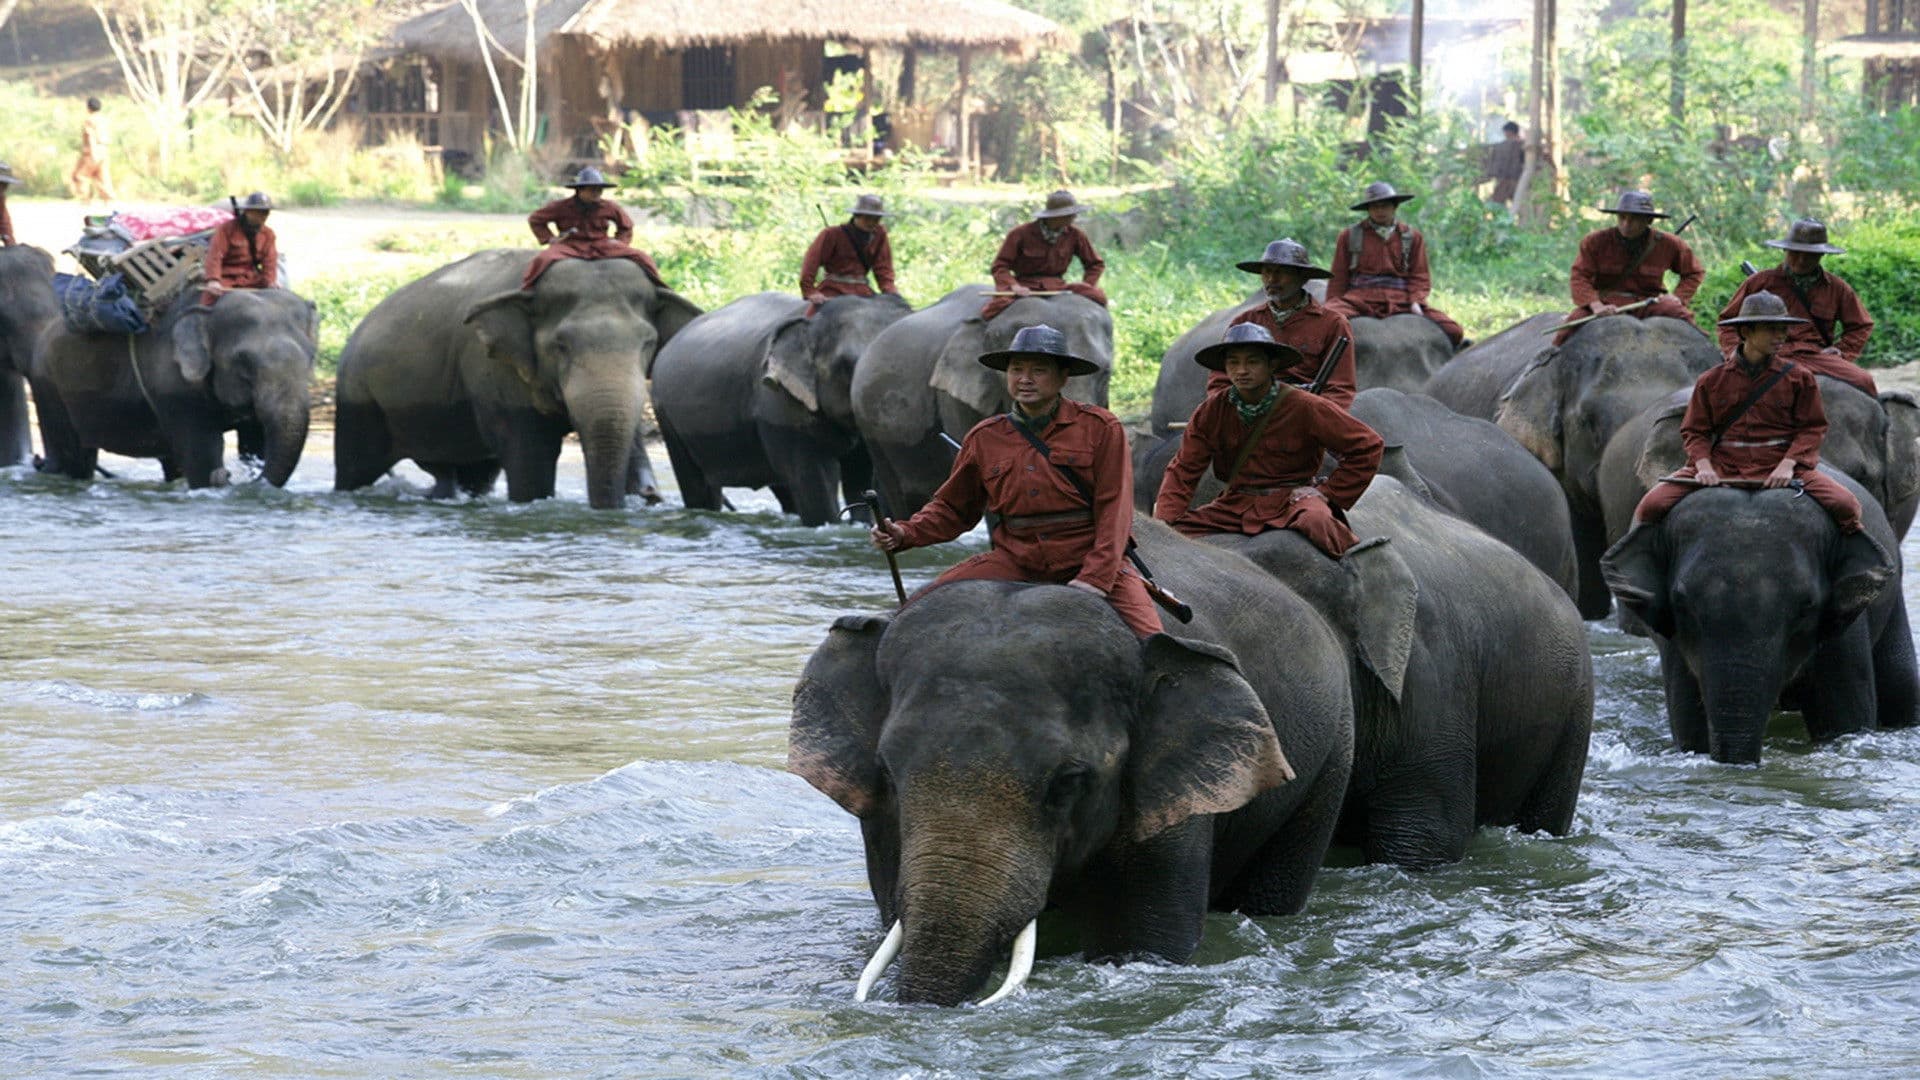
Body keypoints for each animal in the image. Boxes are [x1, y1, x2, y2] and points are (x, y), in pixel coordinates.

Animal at [32, 289, 316, 487]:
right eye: (243, 361)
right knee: (73, 457)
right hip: (47, 384)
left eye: (311, 356)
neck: (208, 311)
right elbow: (203, 454)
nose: (226, 475)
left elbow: (255, 441)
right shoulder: (175, 387)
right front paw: (211, 478)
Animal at [333, 251, 700, 509]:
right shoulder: (494, 368)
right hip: (357, 396)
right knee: (355, 468)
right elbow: (531, 459)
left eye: (648, 343)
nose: (648, 494)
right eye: (561, 346)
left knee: (470, 473)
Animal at [651, 291, 910, 525]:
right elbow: (816, 478)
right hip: (667, 419)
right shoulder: (781, 404)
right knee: (699, 486)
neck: (813, 323)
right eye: (849, 365)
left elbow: (859, 473)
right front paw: (829, 525)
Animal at [1601, 469, 1918, 764]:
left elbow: (1845, 717)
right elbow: (1689, 724)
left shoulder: (1842, 631)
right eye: (1681, 602)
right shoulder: (1675, 641)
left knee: (1901, 686)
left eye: (1807, 606)